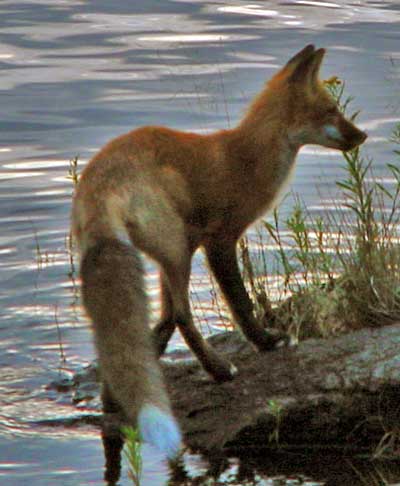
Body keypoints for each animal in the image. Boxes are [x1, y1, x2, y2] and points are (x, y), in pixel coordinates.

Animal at [72, 44, 368, 456]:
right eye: (330, 111)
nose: (363, 135)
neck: (246, 158)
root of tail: (102, 180)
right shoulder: (220, 241)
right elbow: (241, 303)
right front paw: (266, 342)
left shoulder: (194, 245)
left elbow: (156, 327)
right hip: (176, 249)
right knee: (183, 315)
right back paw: (219, 370)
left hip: (168, 252)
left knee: (162, 320)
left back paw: (116, 397)